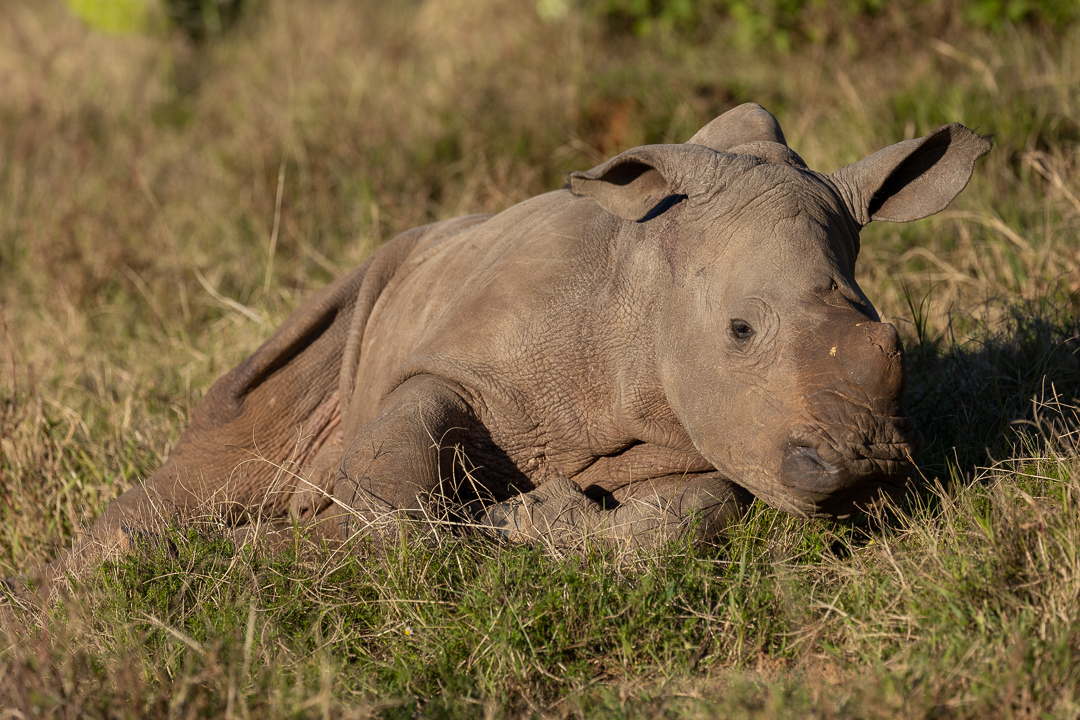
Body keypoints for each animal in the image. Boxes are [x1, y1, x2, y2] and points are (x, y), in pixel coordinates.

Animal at [52, 102, 993, 574]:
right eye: (739, 330)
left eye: (891, 340)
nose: (866, 467)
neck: (648, 288)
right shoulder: (456, 361)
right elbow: (394, 492)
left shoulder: (706, 434)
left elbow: (690, 518)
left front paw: (536, 520)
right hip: (348, 304)